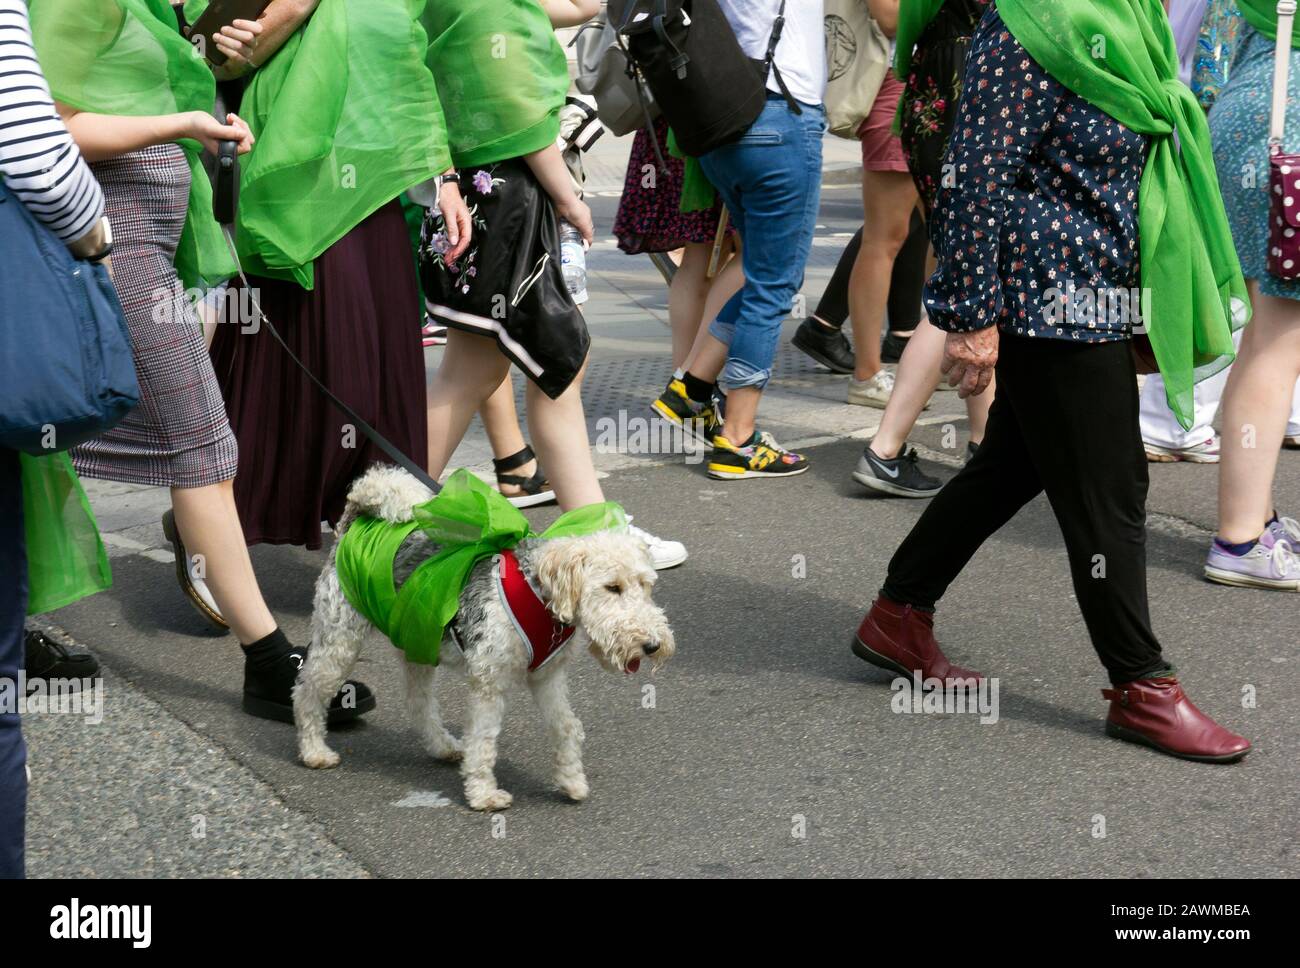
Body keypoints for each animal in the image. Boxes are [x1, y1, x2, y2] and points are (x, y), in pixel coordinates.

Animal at [296, 465, 681, 810]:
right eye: (612, 587)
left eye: (645, 584)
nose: (652, 645)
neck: (539, 594)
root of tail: (351, 524)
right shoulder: (490, 681)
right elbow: (483, 740)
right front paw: (484, 795)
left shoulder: (548, 676)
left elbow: (566, 726)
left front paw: (571, 780)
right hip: (339, 642)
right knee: (306, 692)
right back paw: (315, 752)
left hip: (417, 641)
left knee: (419, 703)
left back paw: (443, 746)